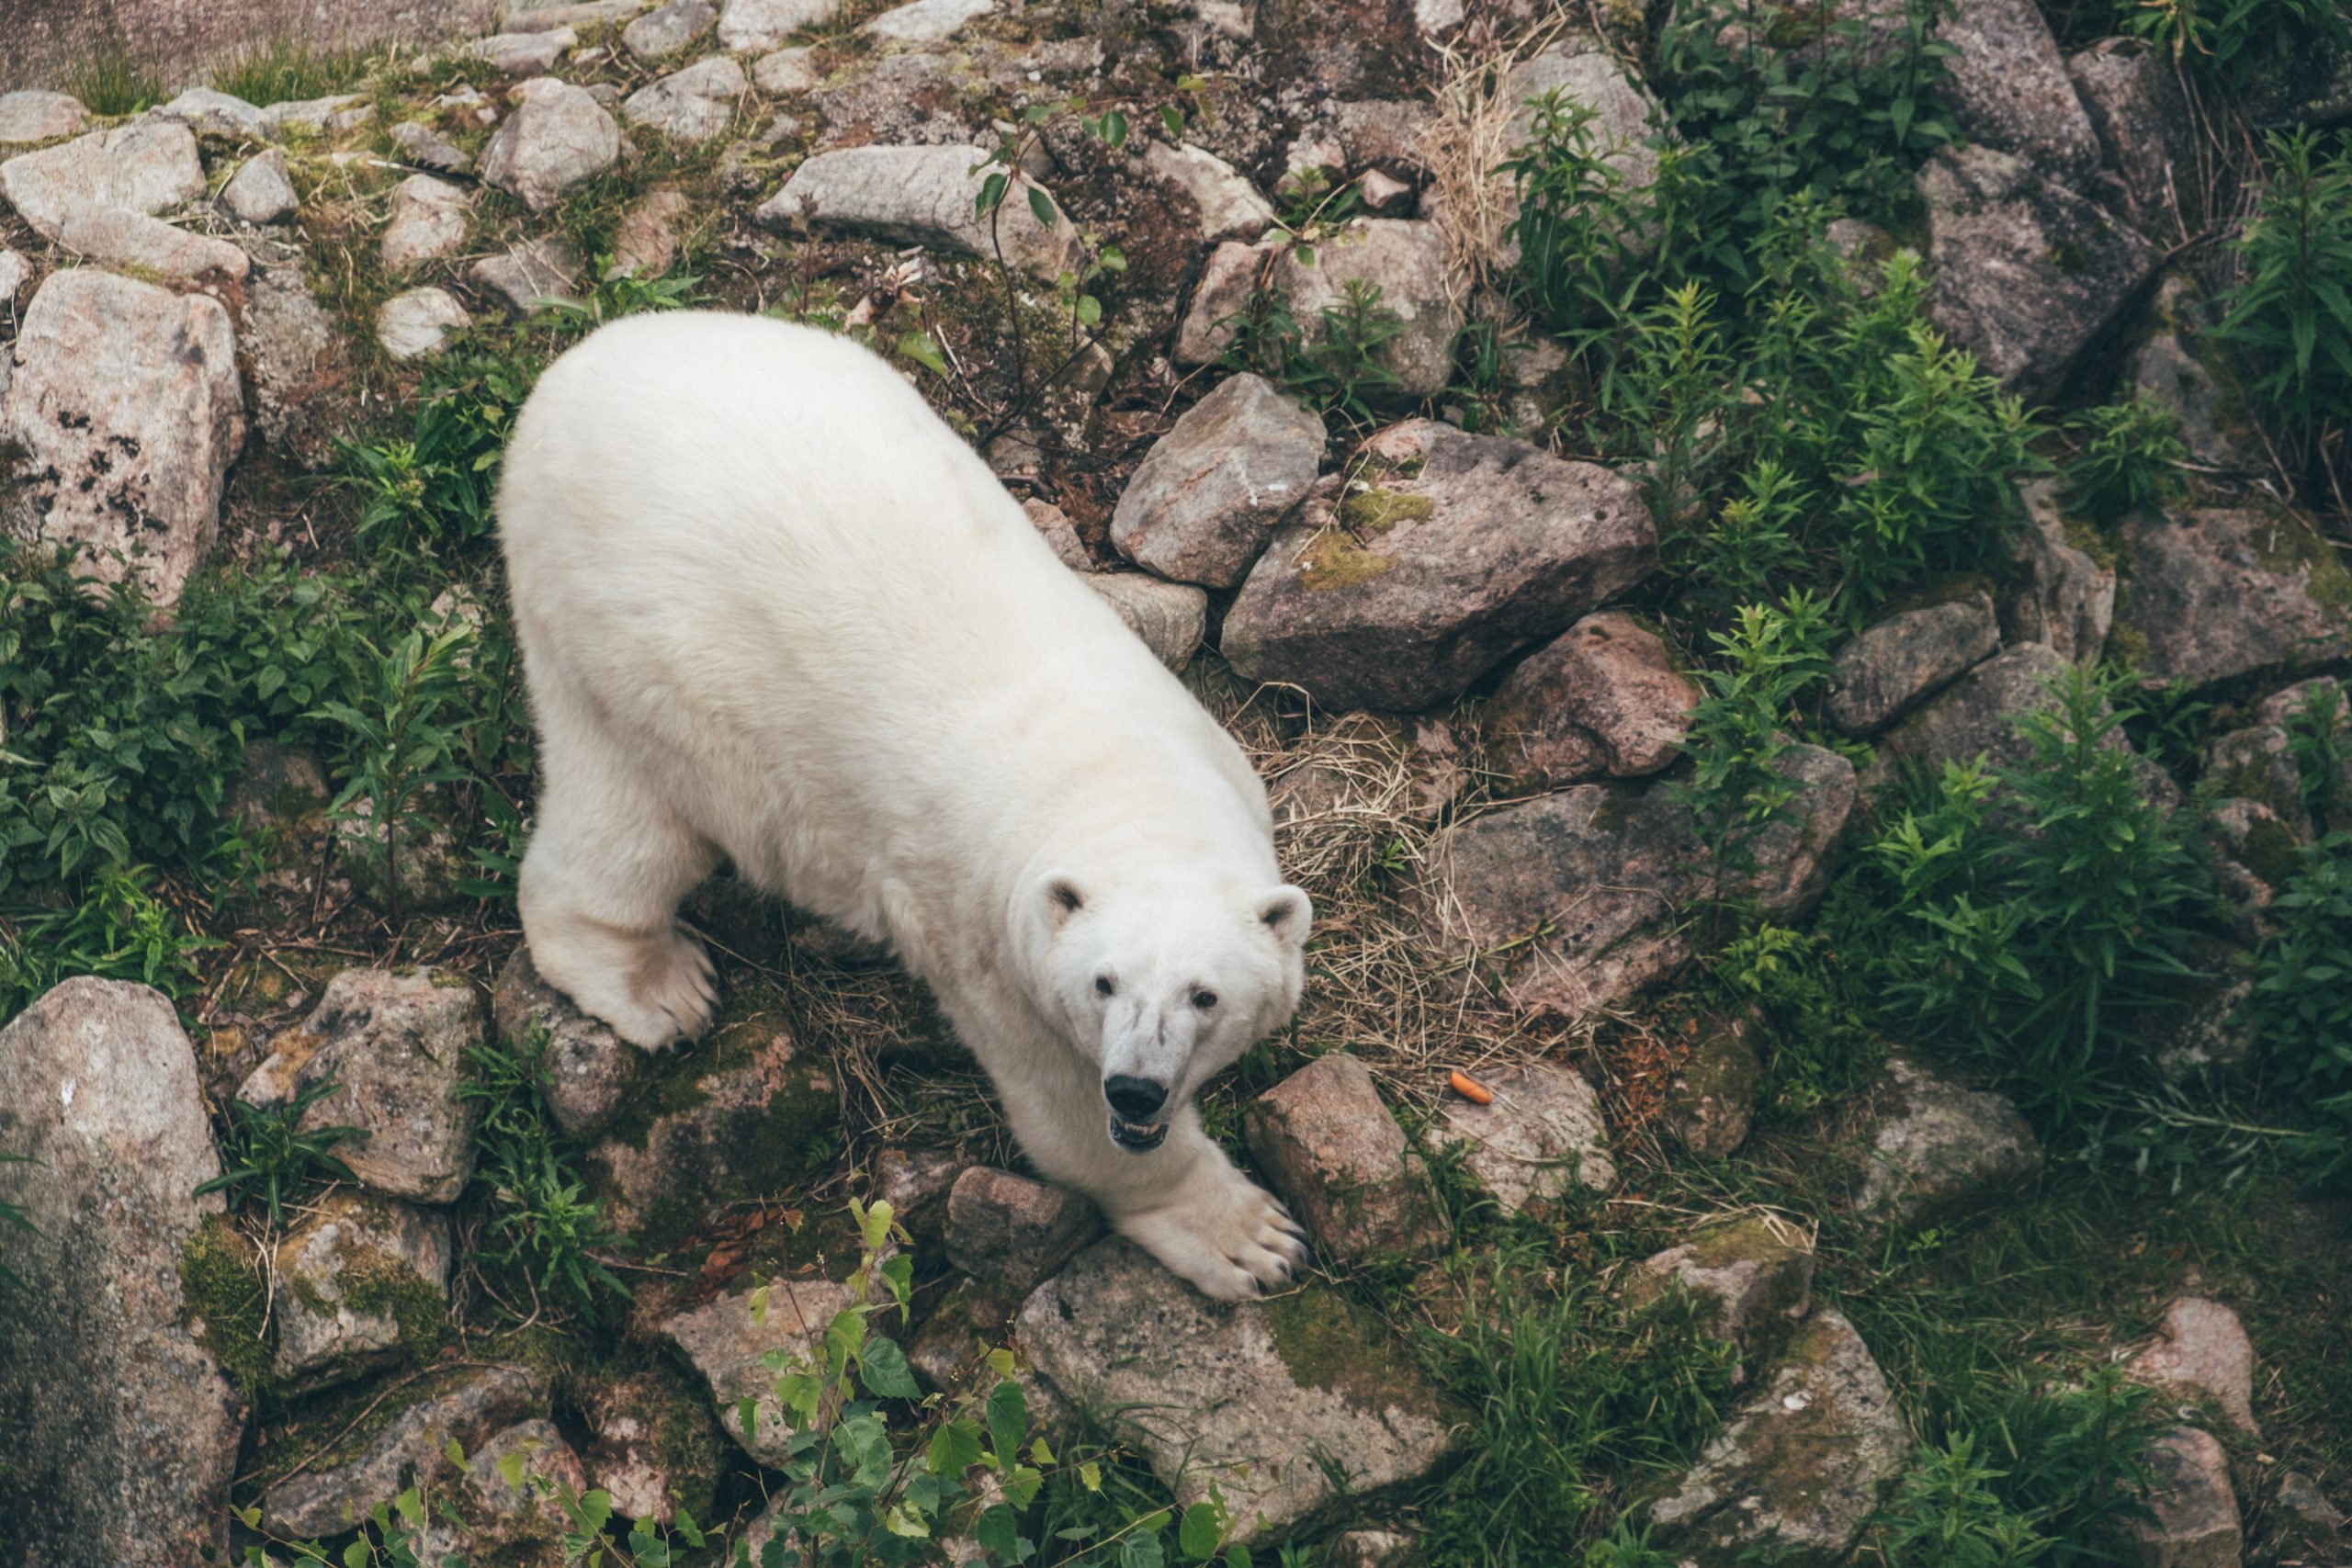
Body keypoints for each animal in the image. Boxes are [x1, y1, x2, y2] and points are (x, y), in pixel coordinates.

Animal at [498, 310, 1317, 1297]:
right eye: (1104, 982)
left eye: (1205, 995)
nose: (1138, 1087)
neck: (1120, 786)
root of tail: (551, 396)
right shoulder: (986, 946)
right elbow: (1068, 1117)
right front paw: (1253, 1240)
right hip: (648, 658)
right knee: (639, 829)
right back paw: (665, 990)